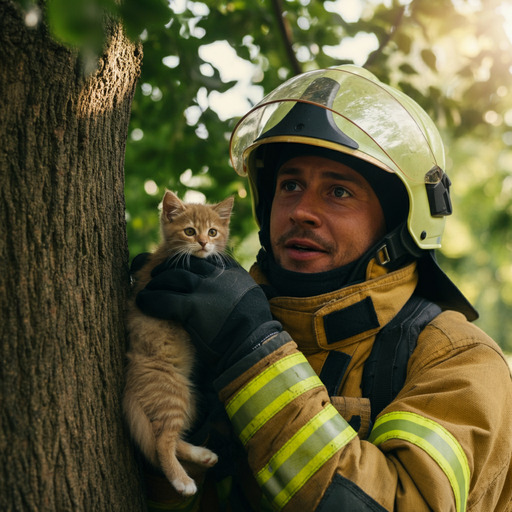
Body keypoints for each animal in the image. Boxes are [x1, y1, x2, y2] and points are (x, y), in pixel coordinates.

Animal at [123, 189, 235, 496]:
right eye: (189, 231)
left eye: (212, 231)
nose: (203, 243)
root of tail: (129, 382)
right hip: (174, 394)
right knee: (160, 442)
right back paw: (181, 480)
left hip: (189, 399)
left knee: (166, 437)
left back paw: (201, 454)